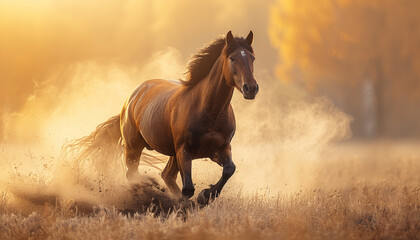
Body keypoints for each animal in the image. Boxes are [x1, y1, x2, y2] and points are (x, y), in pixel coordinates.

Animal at [67, 31, 258, 205]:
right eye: (232, 58)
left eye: (252, 58)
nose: (251, 88)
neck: (210, 112)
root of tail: (131, 98)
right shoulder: (184, 151)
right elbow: (188, 188)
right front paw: (192, 201)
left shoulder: (220, 149)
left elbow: (229, 170)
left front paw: (205, 195)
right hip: (134, 146)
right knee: (134, 174)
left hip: (171, 153)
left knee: (166, 175)